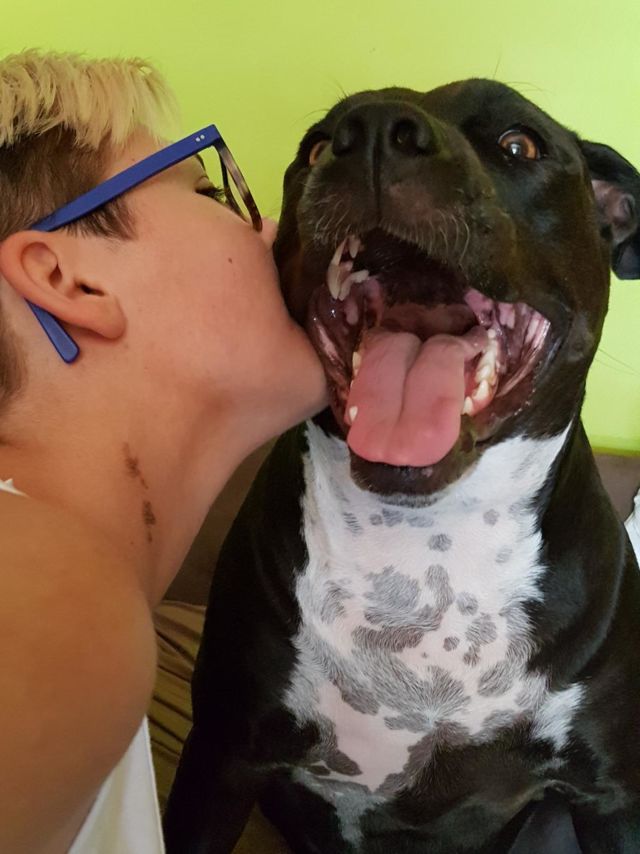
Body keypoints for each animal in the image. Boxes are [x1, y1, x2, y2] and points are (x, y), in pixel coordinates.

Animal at [164, 79, 640, 853]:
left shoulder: (611, 795)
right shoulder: (222, 754)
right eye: (317, 147)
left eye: (519, 144)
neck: (426, 556)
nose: (376, 130)